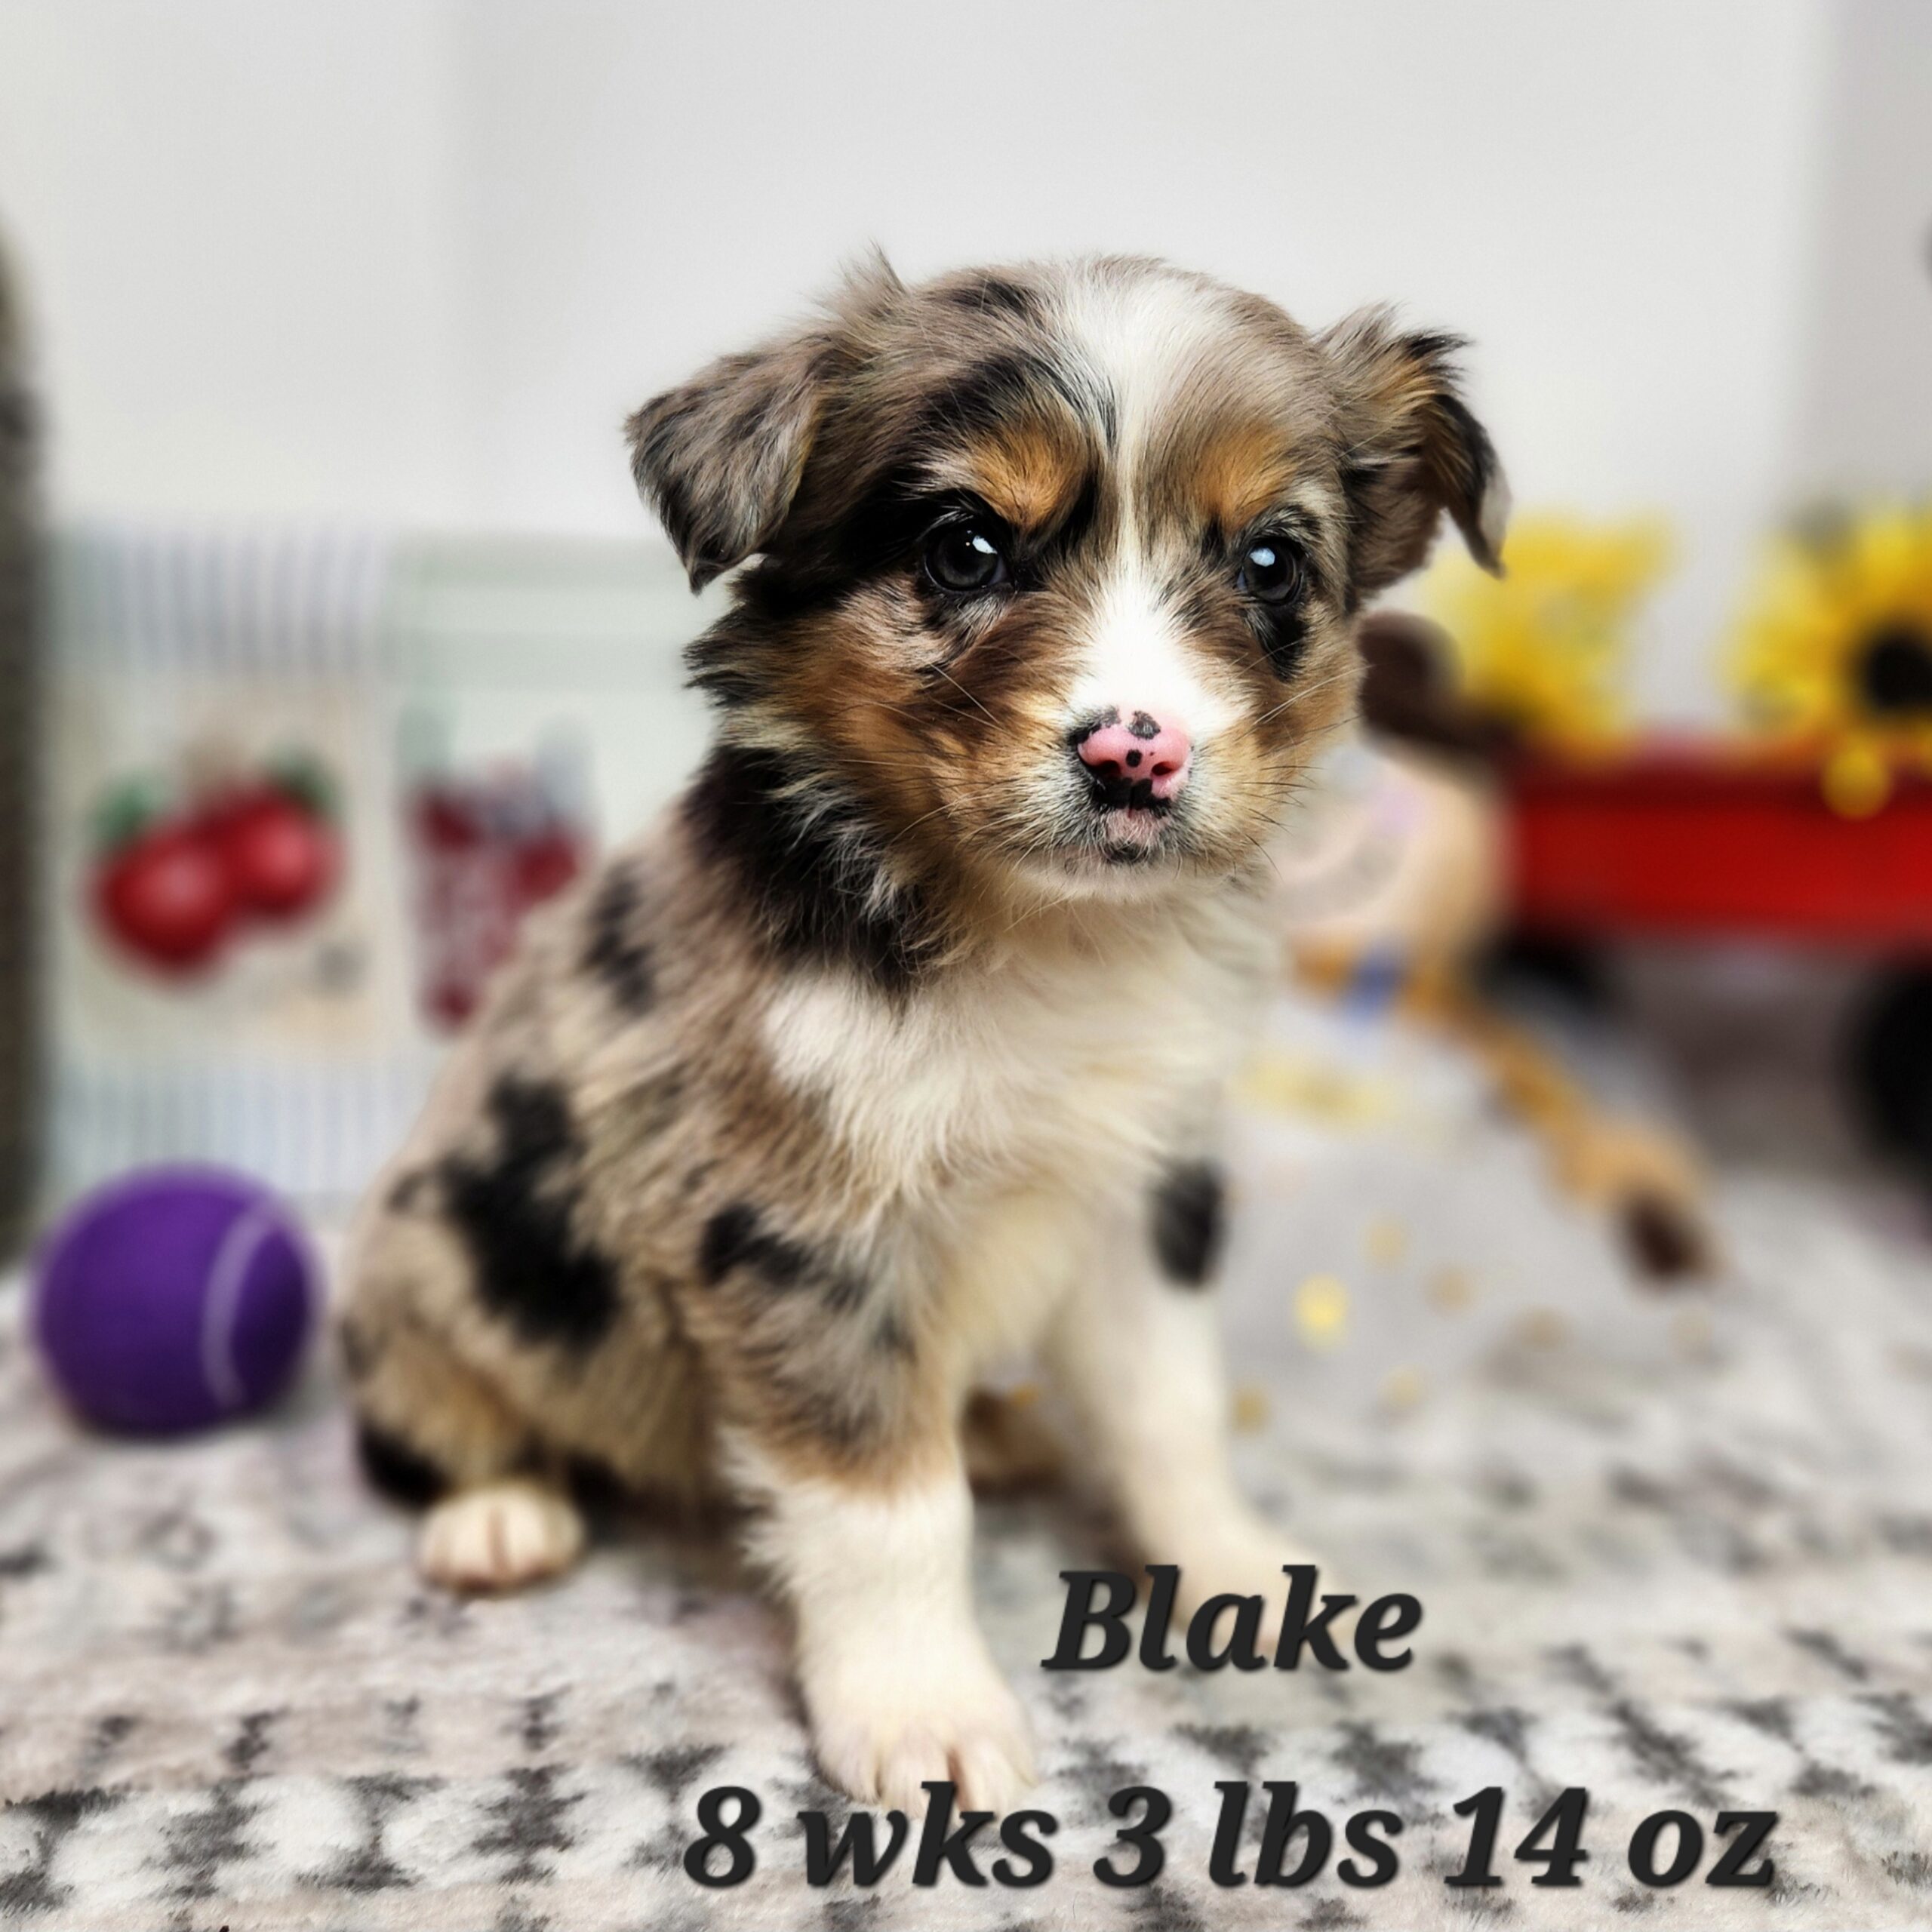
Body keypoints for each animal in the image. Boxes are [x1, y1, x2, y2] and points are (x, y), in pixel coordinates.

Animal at [336, 253, 1506, 1808]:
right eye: (965, 548)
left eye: (1269, 564)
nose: (1136, 755)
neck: (1041, 941)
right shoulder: (798, 1230)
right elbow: (888, 1504)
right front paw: (921, 1710)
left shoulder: (1144, 1189)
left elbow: (1171, 1411)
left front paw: (1238, 1573)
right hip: (426, 1264)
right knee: (440, 1416)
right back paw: (499, 1513)